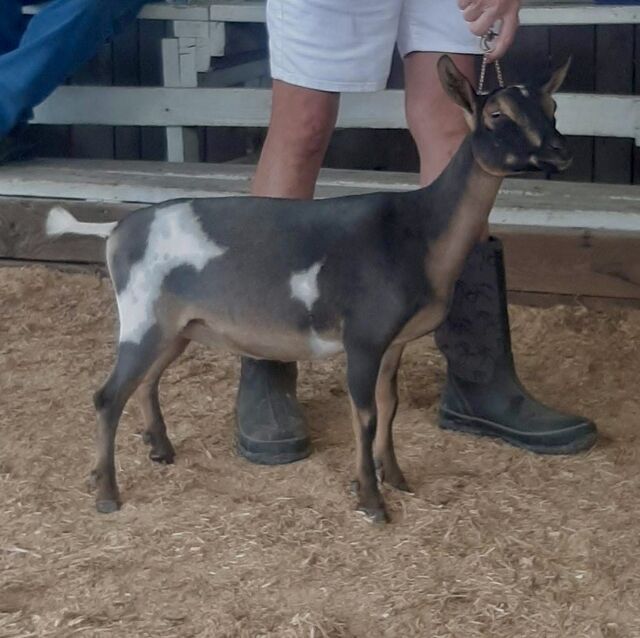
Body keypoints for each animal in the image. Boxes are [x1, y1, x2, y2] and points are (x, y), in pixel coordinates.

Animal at [47, 56, 572, 524]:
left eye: (552, 106)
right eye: (497, 114)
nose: (559, 150)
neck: (418, 230)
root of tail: (116, 231)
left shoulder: (393, 343)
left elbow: (389, 408)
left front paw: (396, 477)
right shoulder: (363, 338)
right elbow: (365, 415)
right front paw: (371, 500)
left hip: (177, 325)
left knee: (147, 380)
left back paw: (159, 448)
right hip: (143, 317)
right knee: (108, 395)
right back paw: (107, 493)